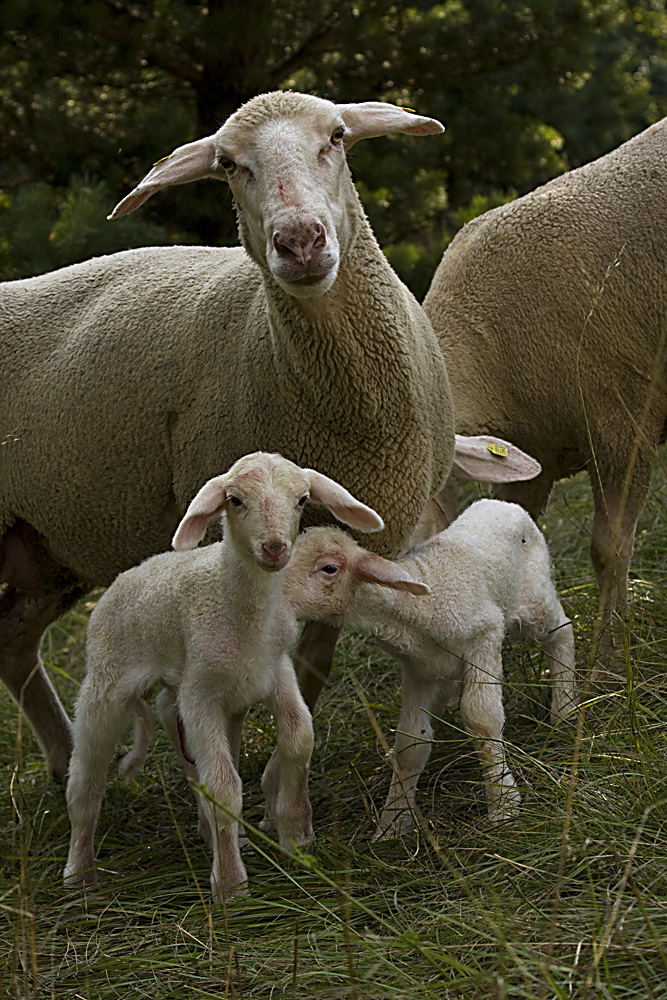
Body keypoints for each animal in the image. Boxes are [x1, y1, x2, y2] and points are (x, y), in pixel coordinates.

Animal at [0, 90, 536, 776]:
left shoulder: (358, 541)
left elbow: (312, 665)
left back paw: (64, 756)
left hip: (46, 546)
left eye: (337, 136)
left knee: (13, 639)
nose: (300, 240)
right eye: (228, 165)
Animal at [65, 454, 384, 900]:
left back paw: (217, 833)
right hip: (106, 682)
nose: (274, 547)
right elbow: (222, 787)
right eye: (234, 500)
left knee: (174, 726)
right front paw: (231, 886)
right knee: (85, 781)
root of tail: (129, 575)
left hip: (187, 694)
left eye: (302, 499)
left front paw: (296, 835)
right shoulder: (201, 695)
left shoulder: (276, 669)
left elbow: (299, 738)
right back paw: (78, 873)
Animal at [284, 500, 576, 836]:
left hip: (534, 597)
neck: (420, 602)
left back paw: (565, 711)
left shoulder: (484, 635)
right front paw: (393, 824)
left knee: (562, 633)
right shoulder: (418, 670)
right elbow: (411, 743)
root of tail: (503, 504)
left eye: (329, 568)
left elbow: (482, 718)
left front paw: (503, 806)